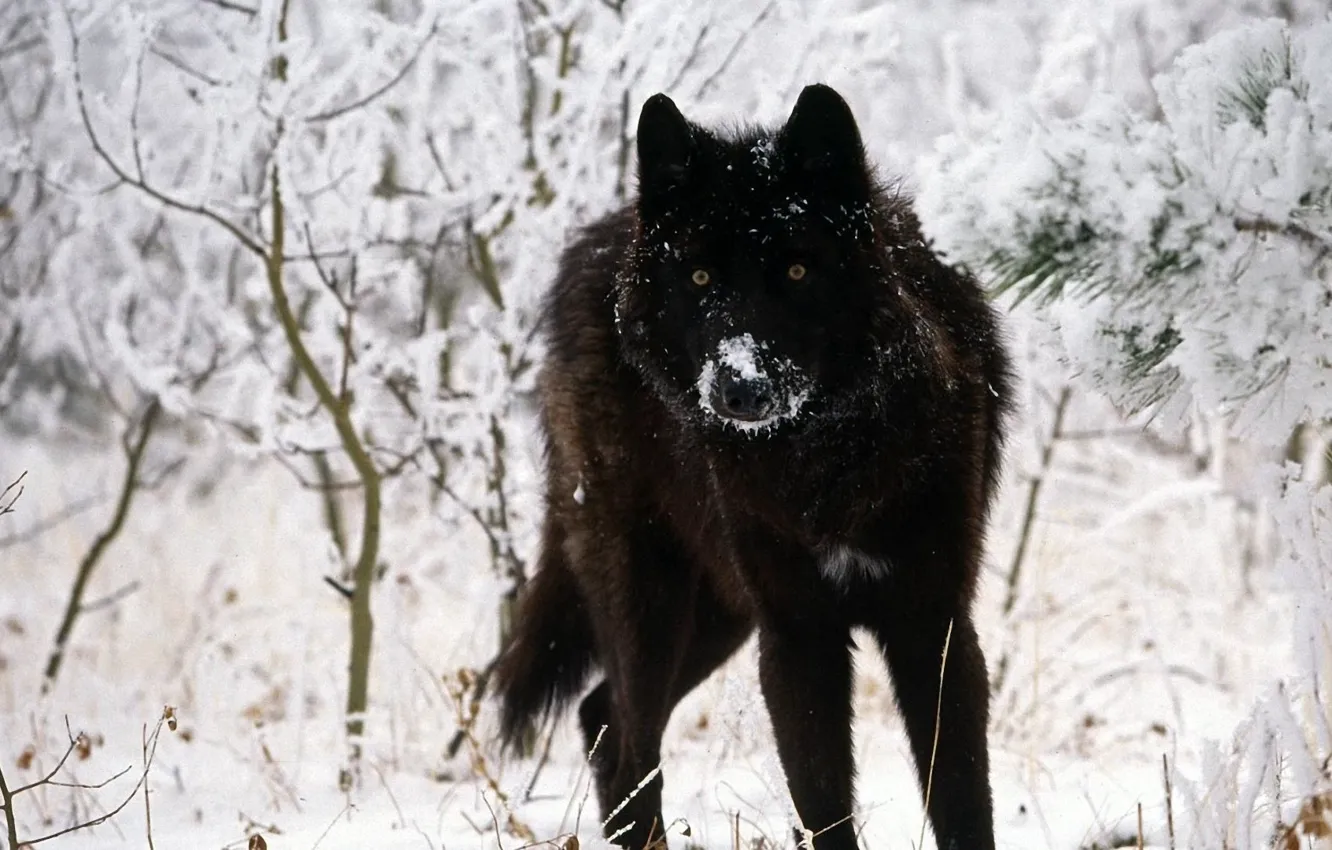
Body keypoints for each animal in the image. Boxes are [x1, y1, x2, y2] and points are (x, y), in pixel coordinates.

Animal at [493, 84, 1013, 850]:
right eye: (700, 274)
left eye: (796, 271)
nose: (739, 389)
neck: (825, 463)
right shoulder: (796, 637)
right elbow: (825, 808)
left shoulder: (934, 627)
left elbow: (962, 803)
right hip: (651, 605)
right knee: (628, 741)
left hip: (720, 615)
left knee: (601, 718)